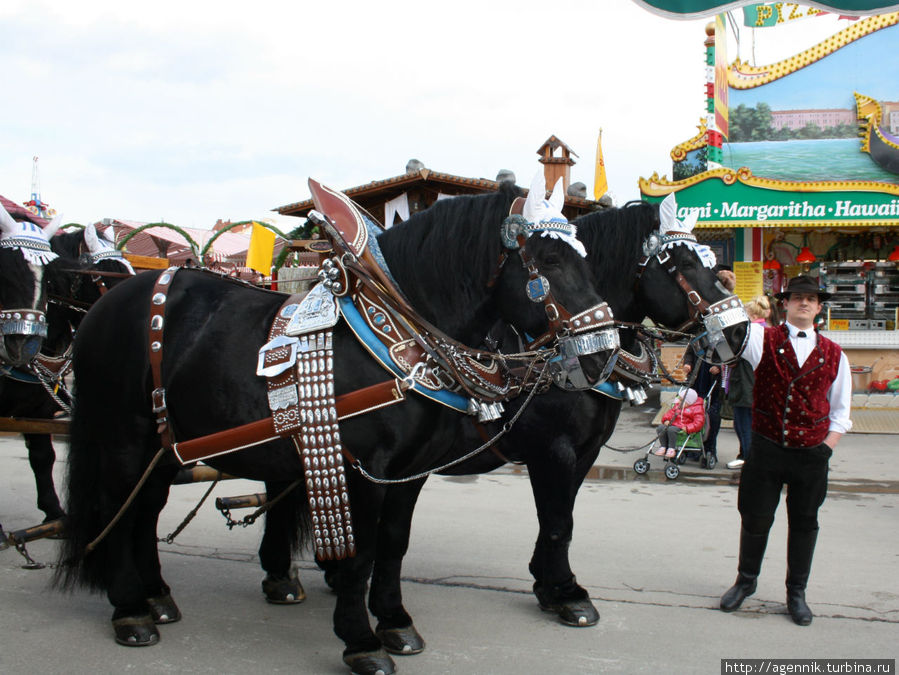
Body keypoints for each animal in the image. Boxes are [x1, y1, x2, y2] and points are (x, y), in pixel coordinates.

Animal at [54, 182, 620, 672]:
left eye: (587, 258)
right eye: (550, 261)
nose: (604, 356)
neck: (396, 332)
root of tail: (112, 300)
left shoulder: (410, 473)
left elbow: (393, 544)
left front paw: (395, 622)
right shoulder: (364, 470)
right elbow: (361, 552)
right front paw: (361, 641)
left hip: (164, 444)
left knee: (144, 510)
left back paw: (156, 595)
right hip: (123, 435)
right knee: (118, 509)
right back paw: (130, 610)